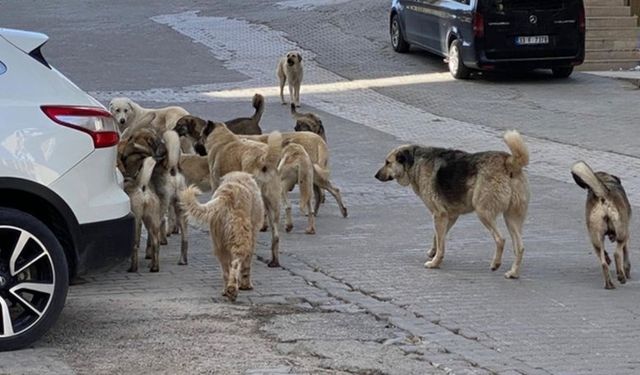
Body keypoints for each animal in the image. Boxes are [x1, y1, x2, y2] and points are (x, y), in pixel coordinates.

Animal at [179, 173, 264, 302]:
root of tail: (226, 196)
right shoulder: (253, 236)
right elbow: (246, 265)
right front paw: (246, 285)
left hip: (219, 244)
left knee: (226, 270)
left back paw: (226, 291)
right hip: (240, 238)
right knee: (235, 264)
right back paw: (232, 290)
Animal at [376, 130, 528, 280]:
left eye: (387, 162)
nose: (375, 176)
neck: (415, 161)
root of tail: (508, 162)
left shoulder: (439, 214)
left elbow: (440, 242)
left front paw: (435, 263)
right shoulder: (450, 216)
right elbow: (438, 238)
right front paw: (433, 253)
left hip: (483, 212)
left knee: (500, 239)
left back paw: (495, 264)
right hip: (511, 218)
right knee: (519, 247)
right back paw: (513, 272)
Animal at [572, 162, 632, 290]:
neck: (606, 180)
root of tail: (603, 195)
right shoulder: (626, 233)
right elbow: (626, 253)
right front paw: (627, 270)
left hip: (595, 238)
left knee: (604, 262)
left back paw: (609, 284)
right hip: (622, 233)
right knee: (617, 253)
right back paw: (621, 276)